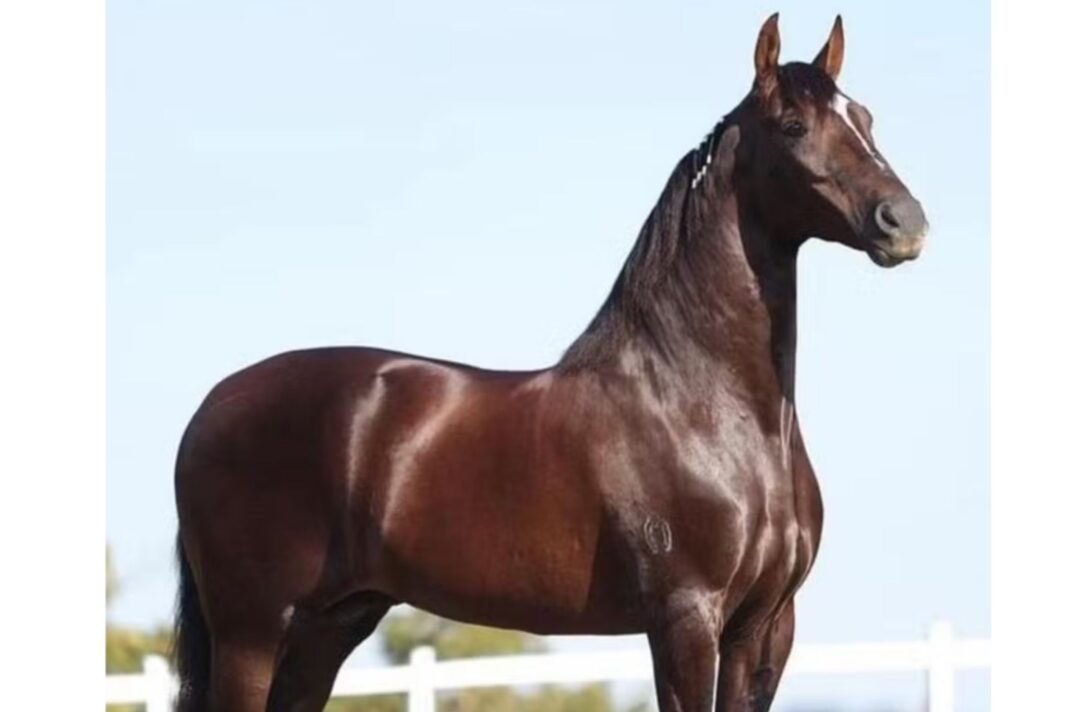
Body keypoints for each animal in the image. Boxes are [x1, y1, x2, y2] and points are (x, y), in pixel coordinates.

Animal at [173, 14, 927, 712]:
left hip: (328, 627)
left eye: (863, 117)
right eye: (794, 125)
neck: (707, 409)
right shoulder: (687, 616)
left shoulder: (765, 626)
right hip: (252, 632)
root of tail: (211, 407)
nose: (905, 223)